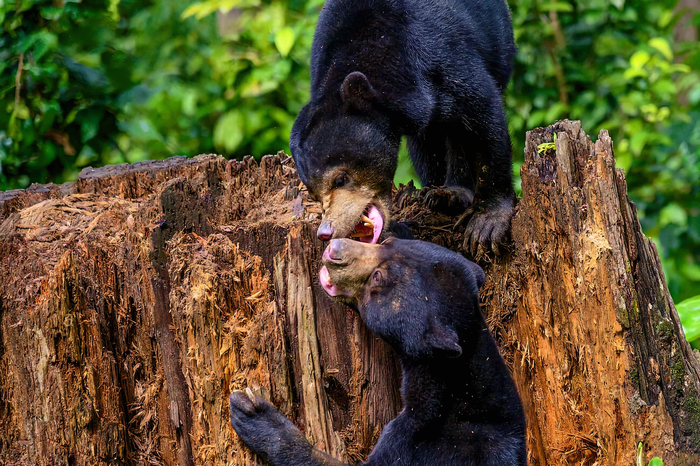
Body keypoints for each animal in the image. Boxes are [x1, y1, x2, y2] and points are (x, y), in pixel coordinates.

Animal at [288, 0, 516, 255]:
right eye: (314, 194)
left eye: (340, 179)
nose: (326, 231)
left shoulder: (445, 56)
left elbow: (483, 113)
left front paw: (485, 224)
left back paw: (453, 193)